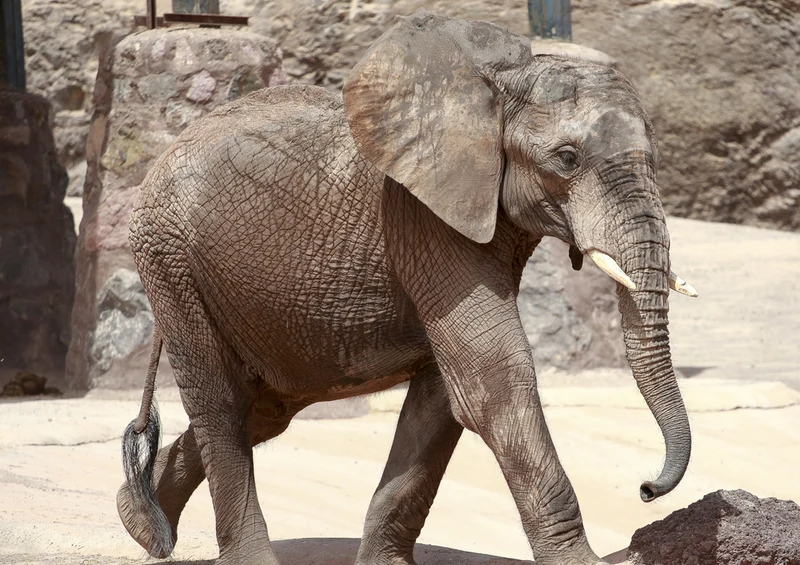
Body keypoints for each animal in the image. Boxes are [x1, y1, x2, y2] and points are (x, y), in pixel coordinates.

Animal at [117, 12, 698, 565]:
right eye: (567, 159)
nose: (646, 488)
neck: (502, 87)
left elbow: (445, 394)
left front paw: (384, 563)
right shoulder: (420, 217)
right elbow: (492, 377)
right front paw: (582, 562)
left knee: (265, 408)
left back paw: (138, 523)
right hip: (169, 261)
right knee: (223, 406)